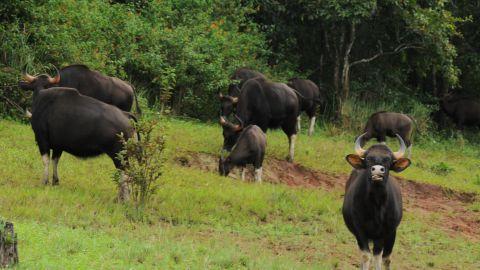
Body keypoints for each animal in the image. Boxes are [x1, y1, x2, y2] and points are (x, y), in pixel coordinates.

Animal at [344, 133, 410, 270]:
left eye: (388, 160)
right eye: (368, 159)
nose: (378, 170)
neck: (376, 204)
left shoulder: (386, 232)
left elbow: (379, 257)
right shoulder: (360, 230)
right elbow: (366, 256)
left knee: (386, 258)